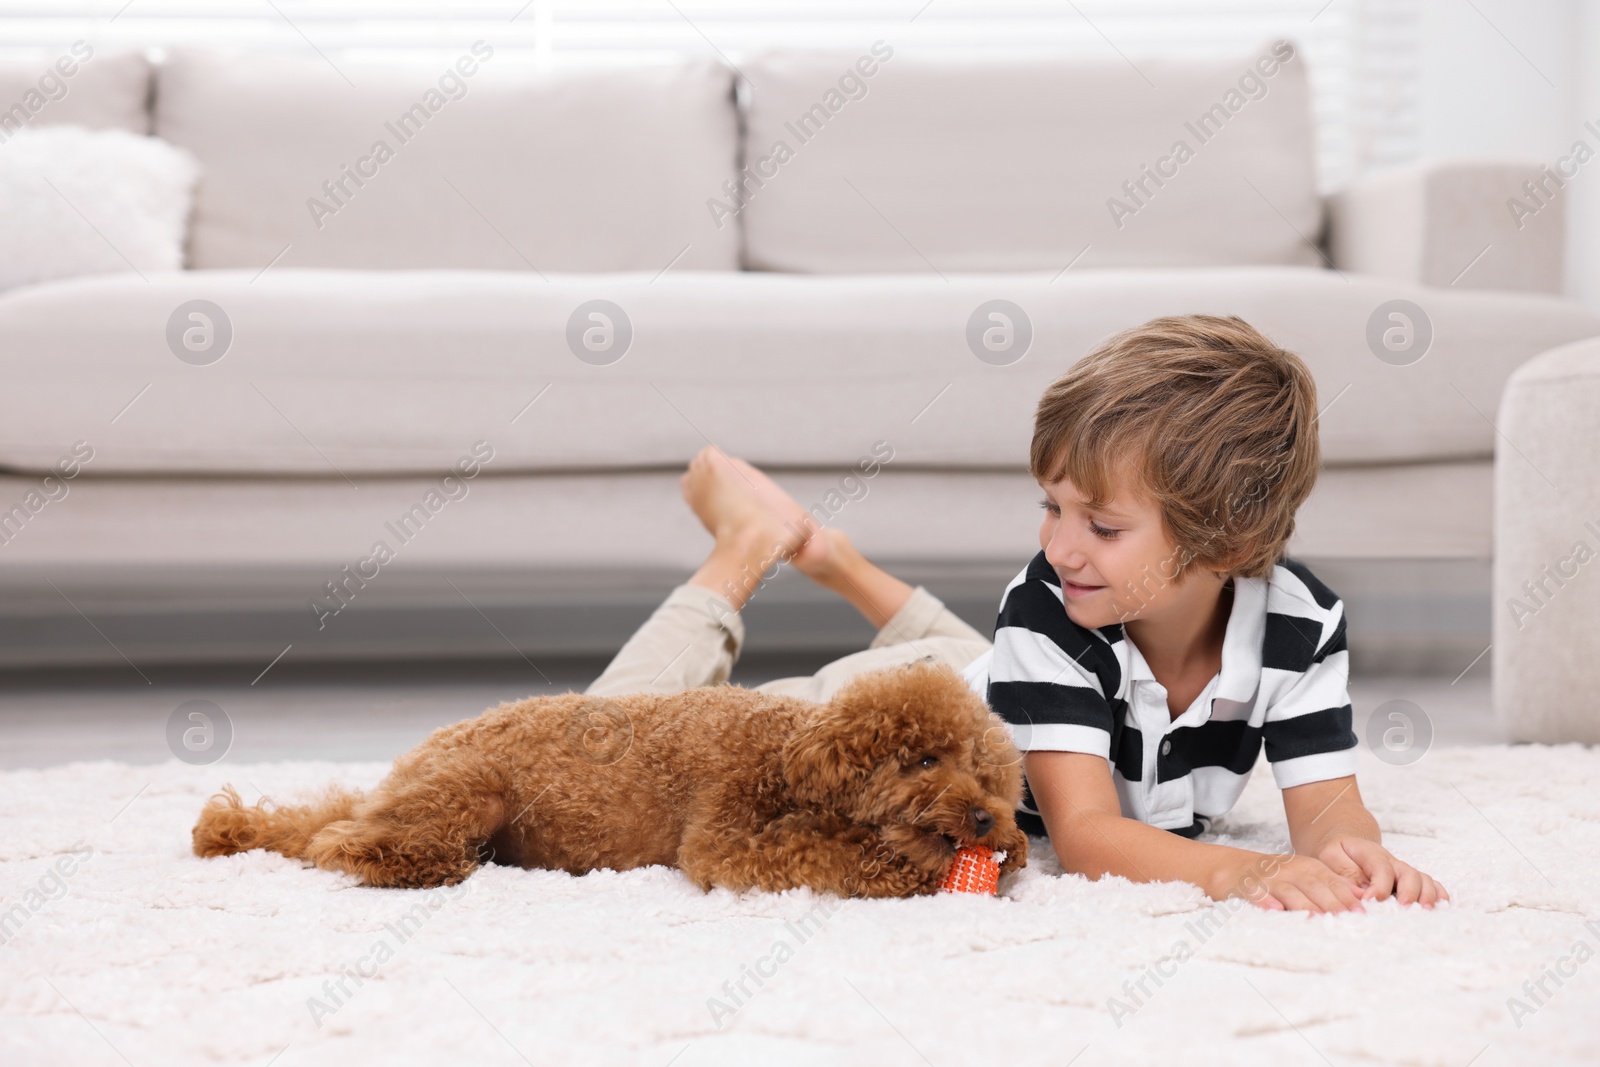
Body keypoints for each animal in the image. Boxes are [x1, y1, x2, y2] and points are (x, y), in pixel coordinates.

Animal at [193, 662, 1030, 895]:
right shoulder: (722, 835)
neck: (787, 754)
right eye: (925, 759)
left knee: (325, 817)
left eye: (986, 773)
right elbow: (821, 850)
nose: (986, 820)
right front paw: (897, 869)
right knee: (340, 837)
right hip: (471, 788)